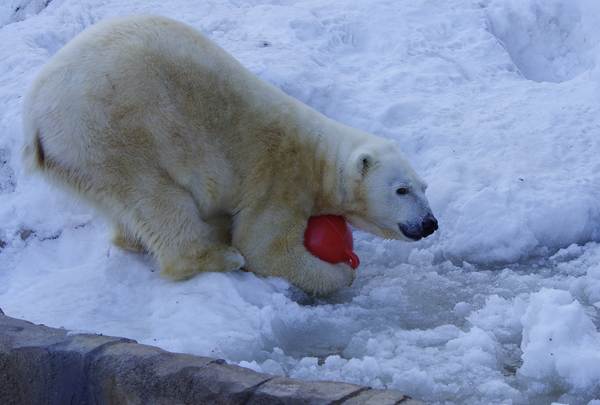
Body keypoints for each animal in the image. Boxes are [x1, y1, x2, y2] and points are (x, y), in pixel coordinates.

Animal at [22, 15, 436, 294]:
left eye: (424, 186)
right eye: (401, 190)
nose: (430, 223)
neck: (318, 158)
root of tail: (36, 115)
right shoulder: (279, 179)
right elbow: (264, 249)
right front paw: (341, 273)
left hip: (82, 159)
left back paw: (135, 240)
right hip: (112, 132)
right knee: (157, 198)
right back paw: (217, 257)